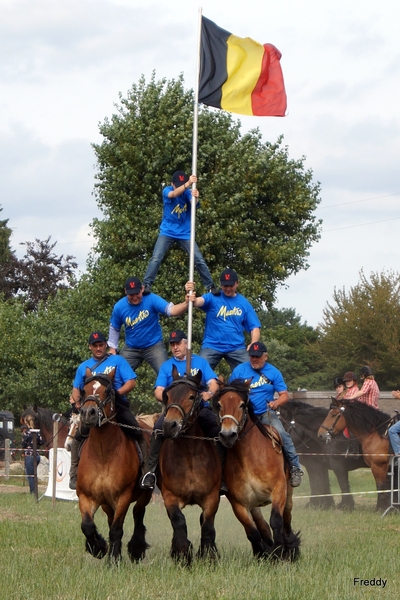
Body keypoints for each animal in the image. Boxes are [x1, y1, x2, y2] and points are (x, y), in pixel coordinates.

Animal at [77, 368, 152, 564]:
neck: (103, 454)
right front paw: (98, 548)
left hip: (144, 495)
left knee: (138, 513)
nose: (88, 413)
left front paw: (113, 560)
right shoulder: (87, 496)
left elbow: (117, 529)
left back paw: (136, 548)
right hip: (106, 503)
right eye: (84, 390)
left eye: (108, 390)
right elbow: (87, 526)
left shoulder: (123, 497)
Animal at [159, 368, 222, 564]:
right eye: (167, 395)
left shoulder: (212, 497)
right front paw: (182, 553)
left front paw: (209, 556)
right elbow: (178, 521)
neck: (189, 456)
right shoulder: (170, 496)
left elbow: (208, 525)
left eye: (192, 396)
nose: (170, 425)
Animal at [212, 382, 300, 560]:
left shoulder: (279, 490)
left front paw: (280, 552)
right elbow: (252, 531)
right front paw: (265, 553)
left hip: (288, 494)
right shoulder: (238, 502)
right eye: (219, 405)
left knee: (286, 519)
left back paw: (290, 548)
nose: (227, 435)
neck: (249, 457)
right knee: (262, 525)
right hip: (254, 504)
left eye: (242, 404)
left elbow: (276, 521)